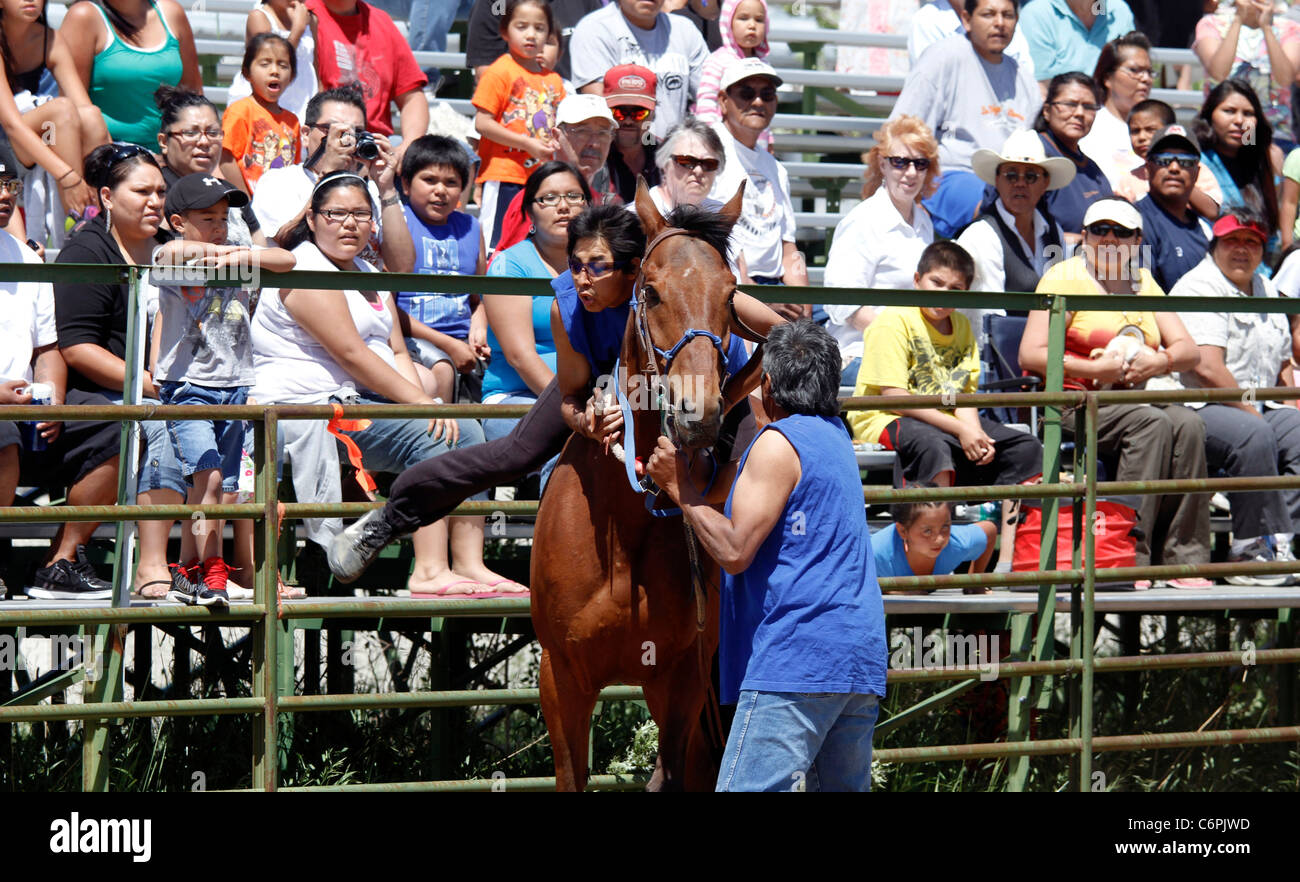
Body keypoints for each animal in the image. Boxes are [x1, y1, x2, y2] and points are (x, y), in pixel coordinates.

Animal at [530, 183, 754, 790]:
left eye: (731, 295)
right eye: (650, 291)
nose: (699, 413)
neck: (622, 535)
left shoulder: (681, 678)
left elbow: (671, 773)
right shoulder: (561, 679)